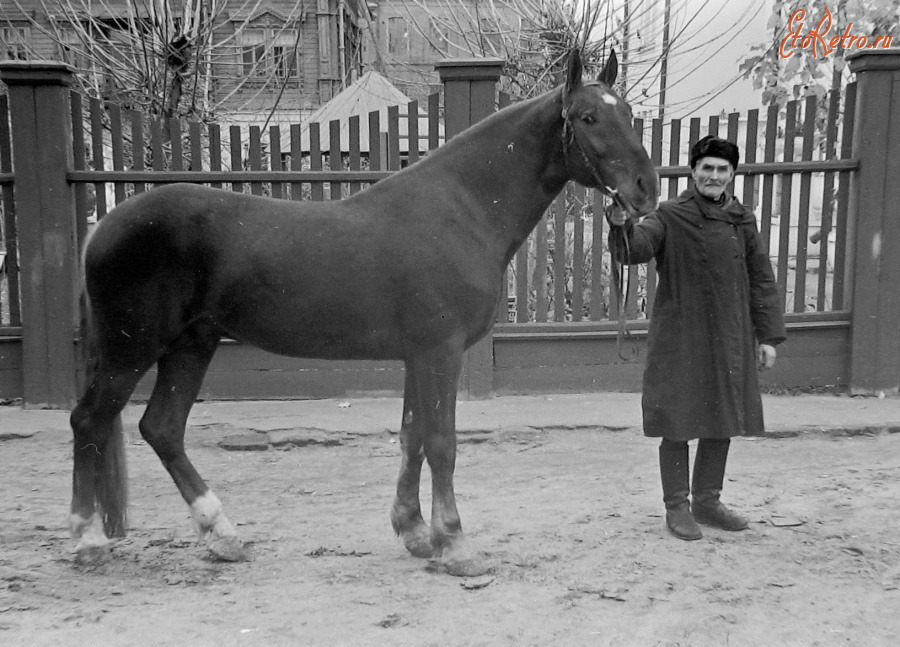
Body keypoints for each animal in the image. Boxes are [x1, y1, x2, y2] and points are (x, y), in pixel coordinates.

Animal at [70, 50, 656, 576]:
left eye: (628, 111)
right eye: (588, 117)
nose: (646, 189)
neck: (461, 210)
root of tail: (102, 228)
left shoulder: (419, 356)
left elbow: (412, 437)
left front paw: (415, 533)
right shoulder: (440, 352)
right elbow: (442, 443)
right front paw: (456, 546)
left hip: (191, 344)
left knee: (162, 428)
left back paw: (221, 536)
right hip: (133, 348)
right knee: (90, 420)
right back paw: (88, 539)